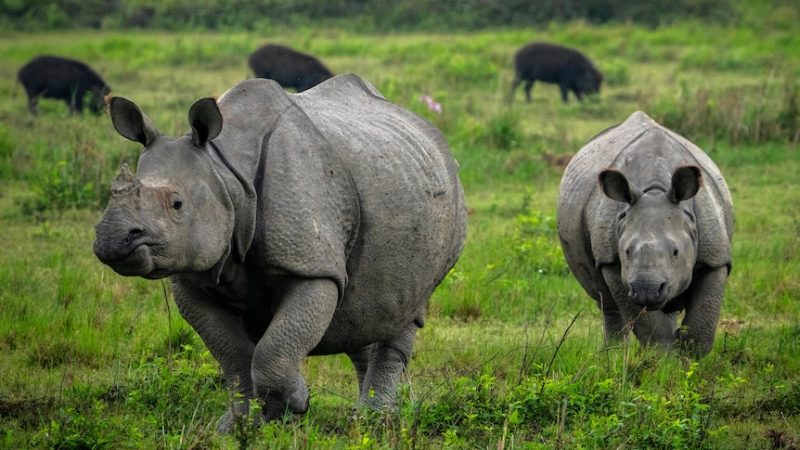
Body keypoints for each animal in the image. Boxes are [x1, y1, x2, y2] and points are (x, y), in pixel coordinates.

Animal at [93, 74, 467, 430]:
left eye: (177, 204)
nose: (113, 239)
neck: (225, 173)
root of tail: (431, 132)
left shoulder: (311, 266)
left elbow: (271, 351)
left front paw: (291, 405)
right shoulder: (194, 276)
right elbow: (234, 358)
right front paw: (239, 426)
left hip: (445, 205)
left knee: (406, 308)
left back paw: (374, 421)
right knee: (361, 315)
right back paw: (370, 415)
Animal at [557, 111, 733, 356]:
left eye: (676, 252)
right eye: (627, 252)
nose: (646, 290)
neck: (656, 190)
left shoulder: (715, 256)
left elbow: (701, 325)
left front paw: (689, 358)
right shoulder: (611, 261)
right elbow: (651, 329)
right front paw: (664, 359)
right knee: (608, 303)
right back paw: (613, 355)